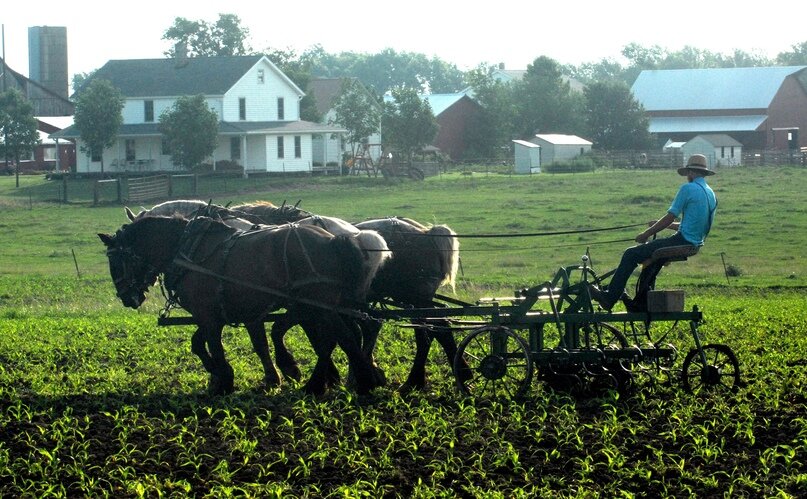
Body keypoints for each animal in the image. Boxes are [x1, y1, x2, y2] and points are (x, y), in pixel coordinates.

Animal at [97, 217, 382, 396]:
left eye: (116, 261)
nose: (127, 298)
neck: (187, 249)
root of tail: (334, 240)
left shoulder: (209, 315)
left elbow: (214, 346)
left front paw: (223, 378)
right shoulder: (229, 313)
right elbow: (207, 343)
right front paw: (266, 378)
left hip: (320, 305)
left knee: (342, 338)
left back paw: (357, 382)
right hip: (324, 306)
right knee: (342, 337)